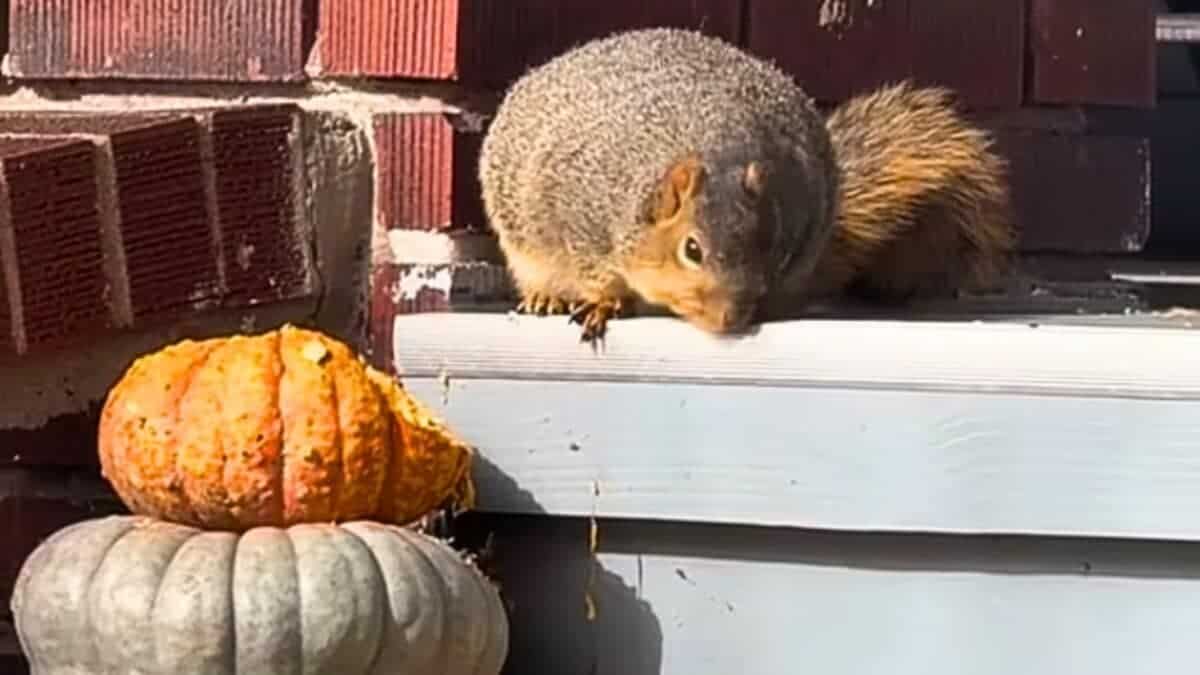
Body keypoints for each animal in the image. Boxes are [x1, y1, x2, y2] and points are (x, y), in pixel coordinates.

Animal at [478, 27, 1015, 343]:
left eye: (769, 244)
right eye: (692, 249)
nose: (732, 318)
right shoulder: (576, 213)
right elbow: (594, 273)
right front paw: (603, 303)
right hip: (521, 243)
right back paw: (546, 298)